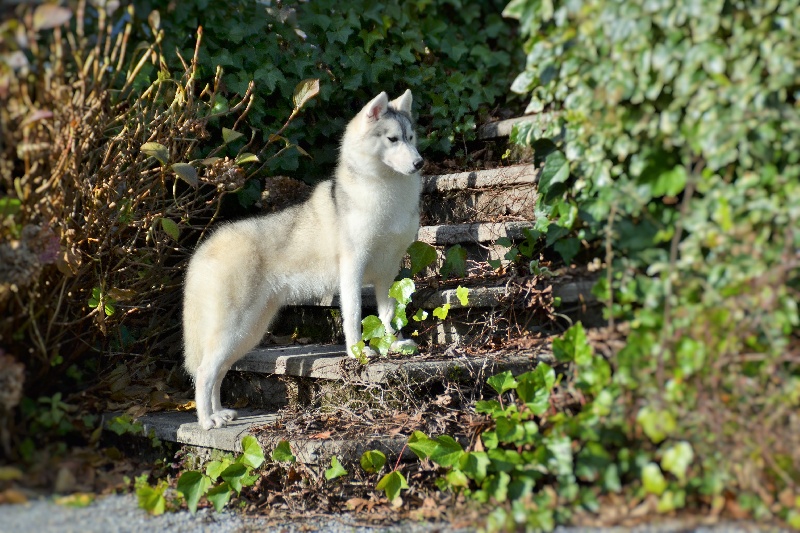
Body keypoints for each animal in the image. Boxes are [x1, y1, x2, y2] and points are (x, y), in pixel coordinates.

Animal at [183, 90, 423, 430]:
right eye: (392, 139)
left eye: (411, 137)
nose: (419, 162)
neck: (385, 191)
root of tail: (205, 247)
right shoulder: (352, 269)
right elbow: (353, 316)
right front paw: (357, 351)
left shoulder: (388, 273)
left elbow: (388, 314)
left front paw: (393, 343)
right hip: (233, 326)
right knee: (205, 372)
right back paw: (207, 421)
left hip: (248, 331)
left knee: (218, 371)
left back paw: (220, 412)